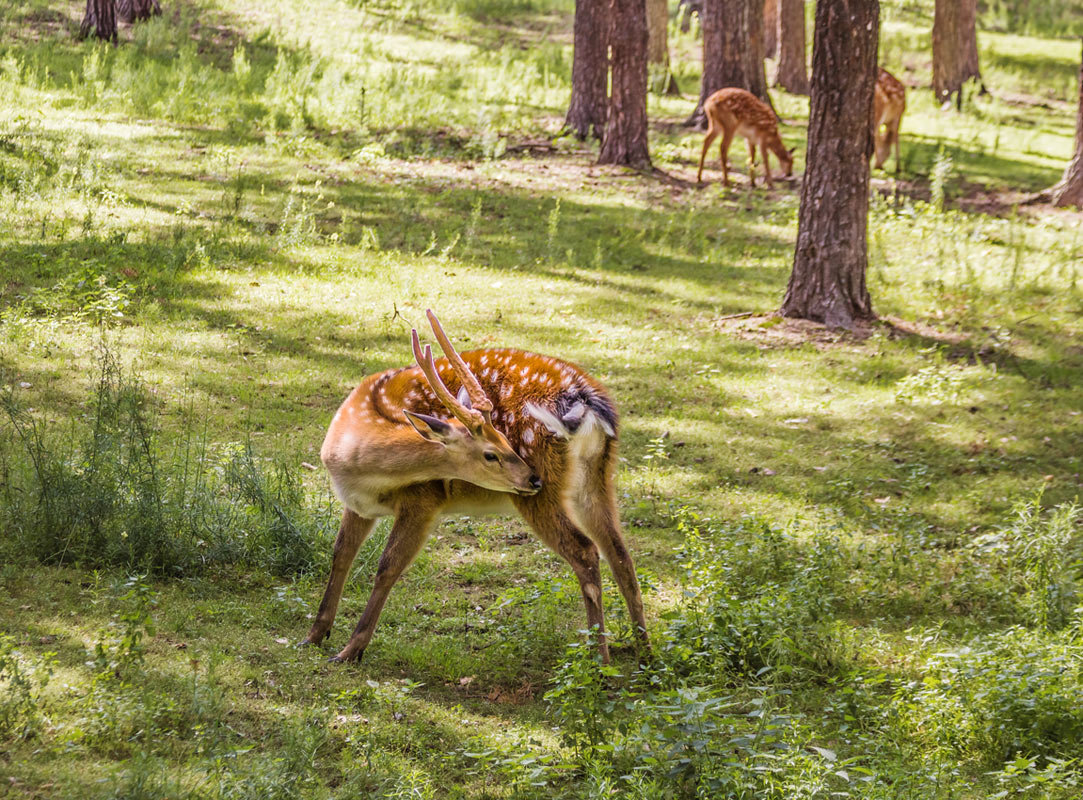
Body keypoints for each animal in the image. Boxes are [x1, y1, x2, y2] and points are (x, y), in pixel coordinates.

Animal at [301, 309, 645, 666]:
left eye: (506, 440)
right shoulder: (357, 505)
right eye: (492, 452)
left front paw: (350, 649)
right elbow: (340, 554)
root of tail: (589, 405)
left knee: (585, 550)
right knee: (621, 555)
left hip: (543, 493)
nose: (532, 478)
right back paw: (644, 653)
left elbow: (388, 566)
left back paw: (600, 661)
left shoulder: (423, 500)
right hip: (596, 478)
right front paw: (314, 635)